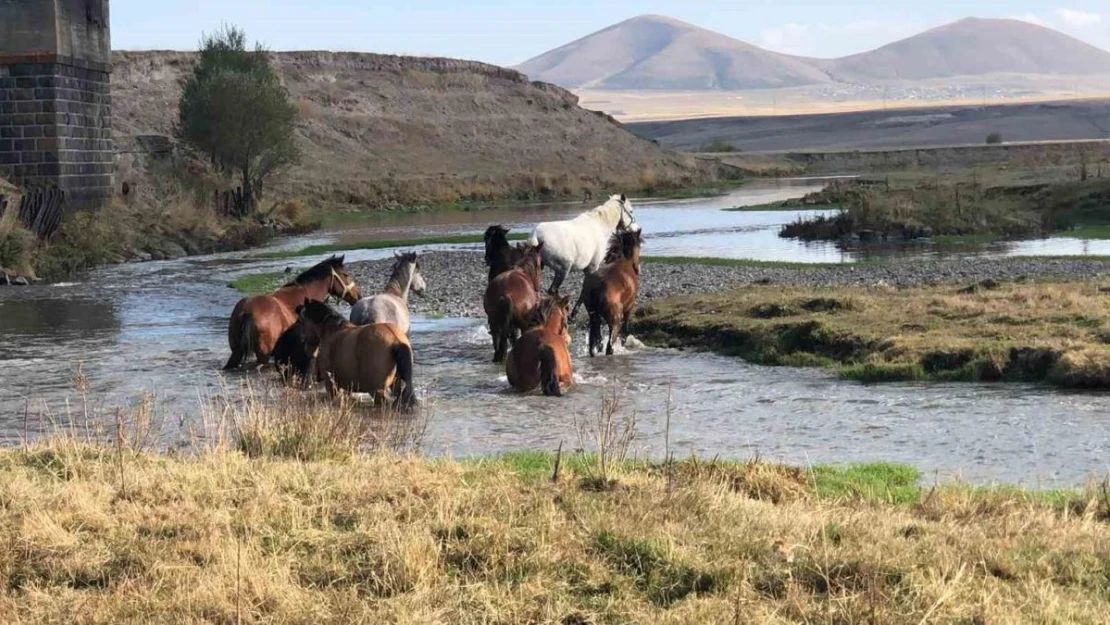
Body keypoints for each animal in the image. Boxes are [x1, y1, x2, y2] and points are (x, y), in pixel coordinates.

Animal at [577, 229, 648, 357]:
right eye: (639, 246)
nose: (637, 268)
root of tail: (596, 286)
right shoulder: (629, 307)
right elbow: (625, 330)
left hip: (593, 316)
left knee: (593, 344)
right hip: (615, 319)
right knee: (609, 347)